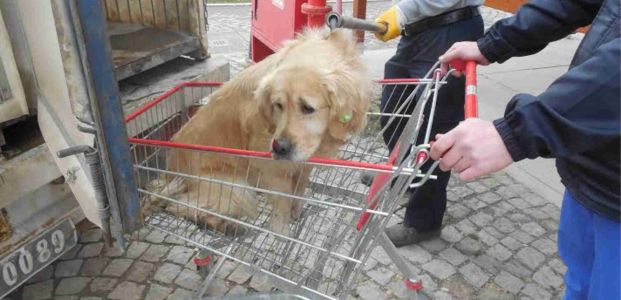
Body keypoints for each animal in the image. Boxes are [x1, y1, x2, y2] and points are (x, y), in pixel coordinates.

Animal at [145, 28, 368, 236]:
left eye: (307, 108)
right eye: (278, 105)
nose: (279, 148)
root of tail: (169, 172)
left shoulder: (304, 161)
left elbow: (300, 187)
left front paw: (296, 210)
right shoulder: (272, 166)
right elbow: (283, 202)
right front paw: (281, 232)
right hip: (235, 187)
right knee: (178, 203)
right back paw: (222, 223)